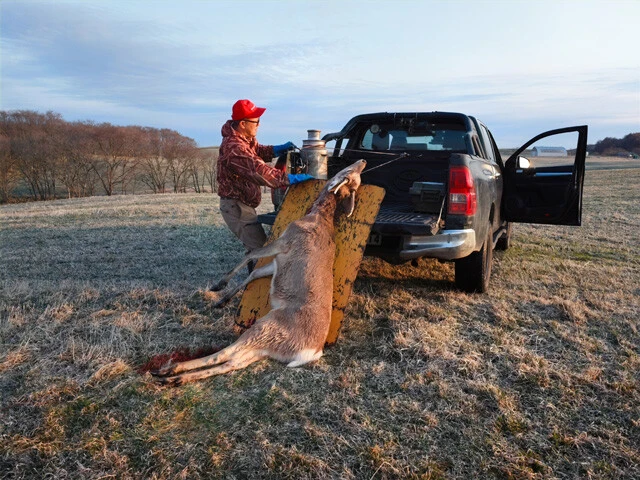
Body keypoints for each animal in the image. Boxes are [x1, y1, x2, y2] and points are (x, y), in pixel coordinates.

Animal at [151, 159, 367, 385]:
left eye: (349, 172)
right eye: (355, 176)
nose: (363, 161)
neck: (317, 216)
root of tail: (312, 352)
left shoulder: (285, 242)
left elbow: (251, 254)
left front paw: (219, 285)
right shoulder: (279, 260)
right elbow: (254, 273)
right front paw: (222, 299)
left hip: (264, 327)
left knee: (225, 354)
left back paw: (169, 371)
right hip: (265, 349)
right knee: (234, 362)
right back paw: (176, 378)